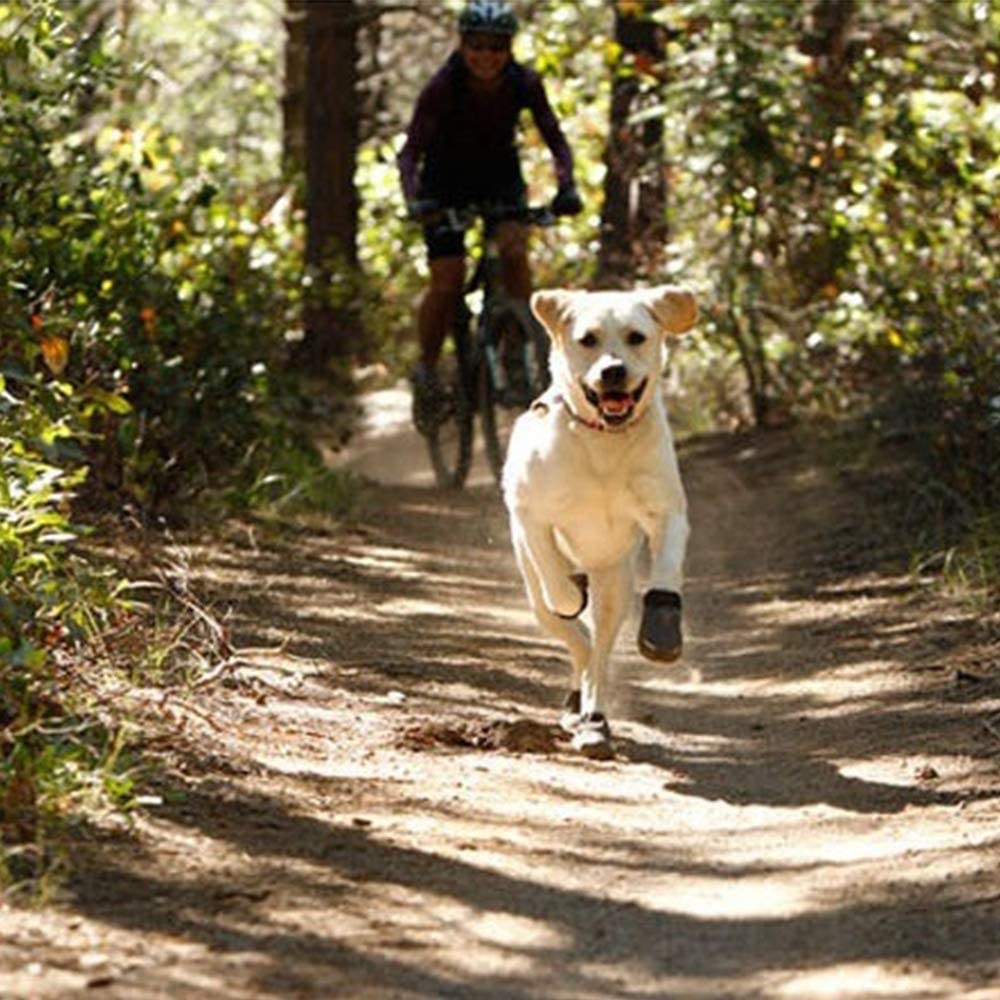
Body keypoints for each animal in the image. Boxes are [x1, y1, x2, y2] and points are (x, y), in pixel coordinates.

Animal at [504, 284, 700, 756]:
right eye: (588, 339)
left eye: (636, 337)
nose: (613, 372)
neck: (603, 440)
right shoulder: (529, 511)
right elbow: (554, 575)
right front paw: (568, 592)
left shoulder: (667, 511)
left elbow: (668, 567)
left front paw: (663, 630)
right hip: (535, 598)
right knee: (576, 639)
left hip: (614, 583)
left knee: (598, 654)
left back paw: (593, 720)